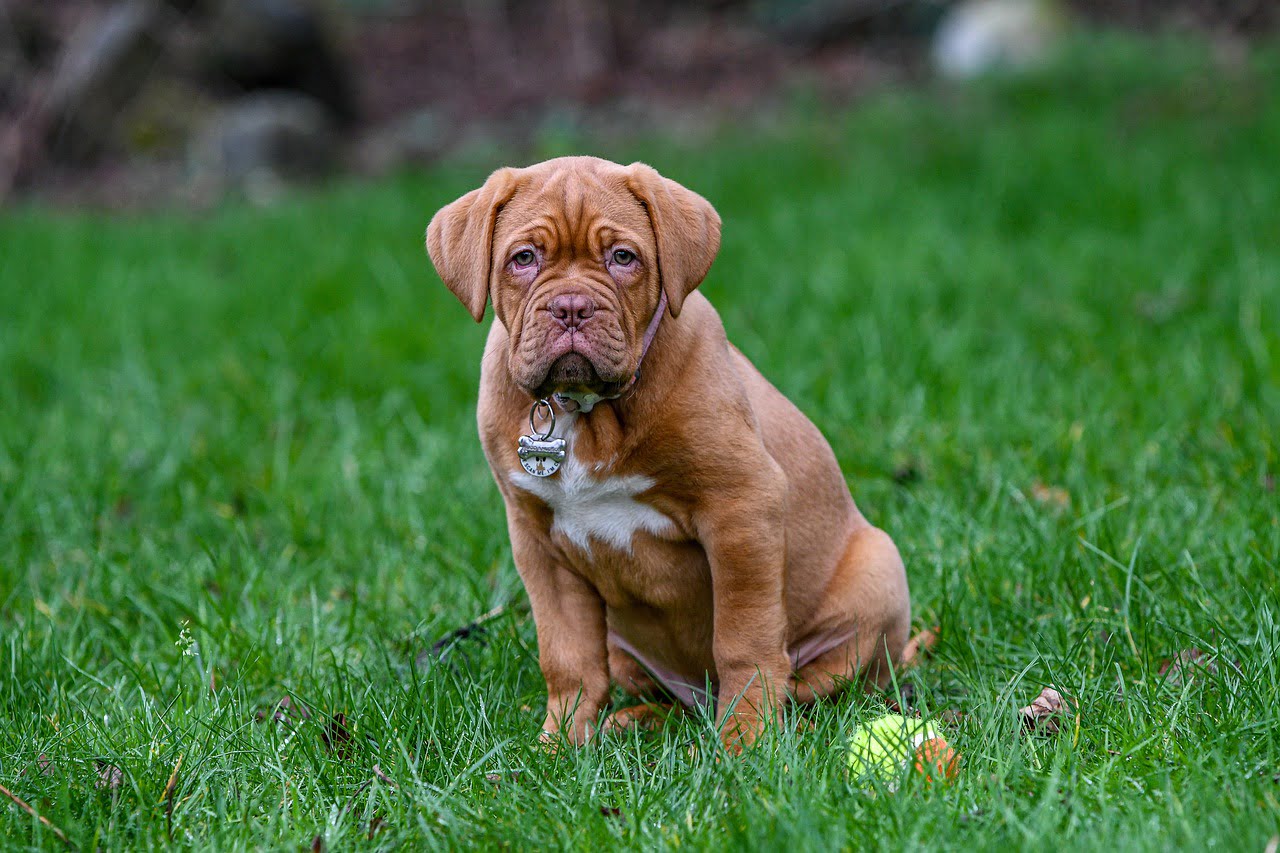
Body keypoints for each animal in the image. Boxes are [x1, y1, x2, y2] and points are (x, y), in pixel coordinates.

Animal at [427, 156, 911, 747]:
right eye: (523, 258)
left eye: (622, 257)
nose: (571, 307)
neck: (586, 410)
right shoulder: (538, 540)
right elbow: (567, 655)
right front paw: (560, 743)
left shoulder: (741, 508)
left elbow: (744, 638)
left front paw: (747, 741)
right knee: (659, 696)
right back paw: (632, 722)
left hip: (878, 571)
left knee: (814, 684)